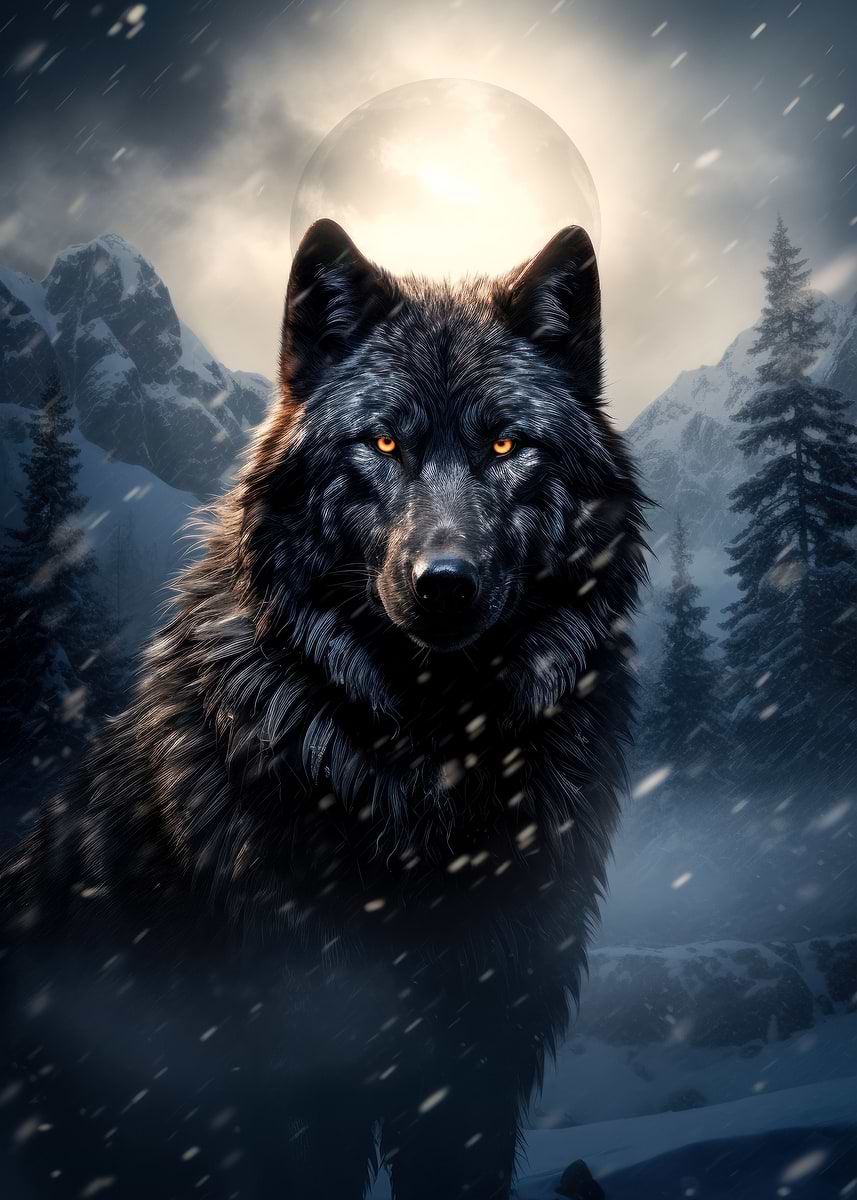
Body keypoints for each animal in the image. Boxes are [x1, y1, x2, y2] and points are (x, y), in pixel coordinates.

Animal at [0, 220, 647, 1199]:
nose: (444, 584)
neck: (430, 759)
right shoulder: (293, 1070)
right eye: (381, 444)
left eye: (505, 447)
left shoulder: (478, 1062)